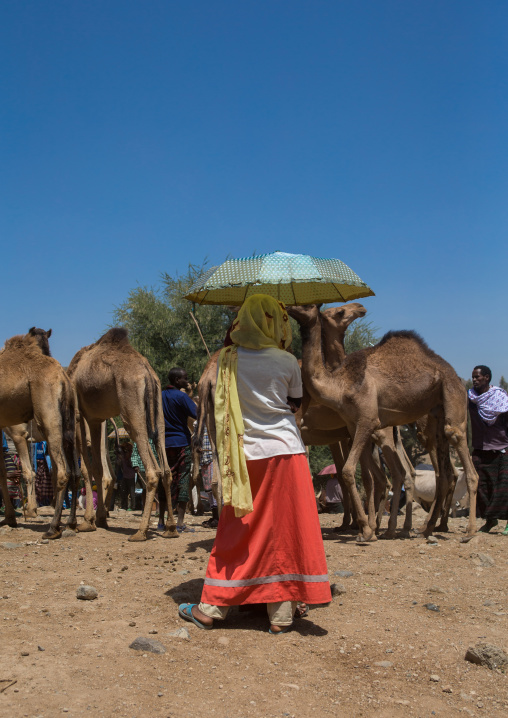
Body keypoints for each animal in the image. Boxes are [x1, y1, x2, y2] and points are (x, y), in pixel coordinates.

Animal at [0, 332, 79, 538]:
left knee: (63, 471)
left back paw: (53, 528)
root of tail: (63, 377)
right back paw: (71, 523)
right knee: (75, 472)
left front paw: (26, 512)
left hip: (48, 413)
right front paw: (9, 518)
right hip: (69, 425)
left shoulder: (17, 433)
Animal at [67, 327, 177, 541]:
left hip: (131, 409)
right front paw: (100, 519)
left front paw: (87, 522)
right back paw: (170, 529)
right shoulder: (96, 418)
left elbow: (86, 469)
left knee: (153, 471)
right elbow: (98, 469)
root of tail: (147, 373)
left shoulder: (79, 414)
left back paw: (141, 532)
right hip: (158, 409)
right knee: (166, 469)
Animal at [288, 304, 478, 541]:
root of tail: (456, 376)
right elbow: (356, 474)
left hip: (447, 400)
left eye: (308, 306)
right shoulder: (352, 427)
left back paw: (465, 530)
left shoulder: (366, 421)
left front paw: (365, 529)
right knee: (432, 474)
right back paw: (424, 527)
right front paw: (363, 527)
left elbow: (349, 471)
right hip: (434, 416)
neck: (339, 384)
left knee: (451, 453)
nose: (360, 307)